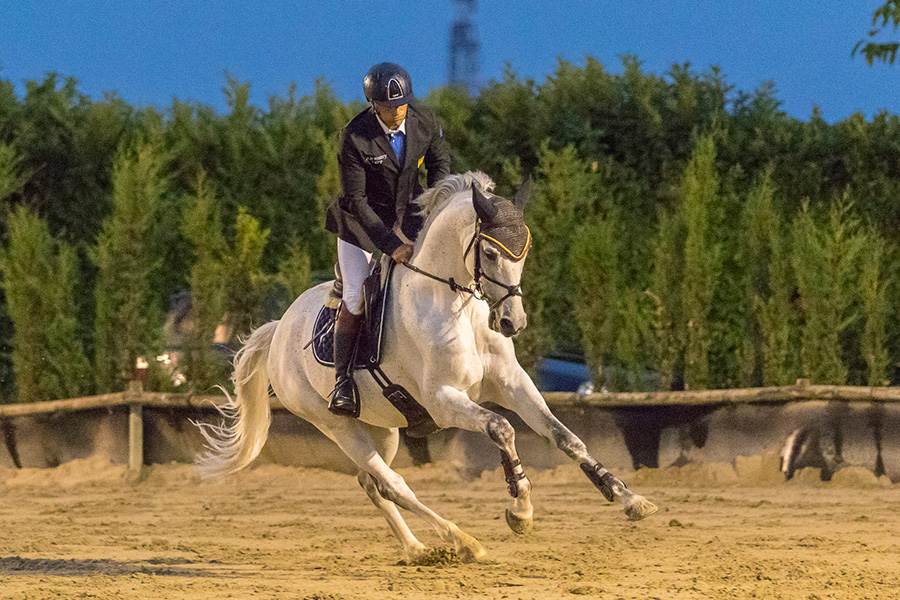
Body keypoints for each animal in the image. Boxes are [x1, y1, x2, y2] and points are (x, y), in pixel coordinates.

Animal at [197, 172, 656, 564]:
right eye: (490, 252)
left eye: (525, 250)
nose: (513, 322)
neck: (458, 305)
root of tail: (278, 329)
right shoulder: (443, 400)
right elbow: (502, 429)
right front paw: (521, 511)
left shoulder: (512, 384)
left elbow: (566, 437)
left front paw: (628, 498)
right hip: (336, 424)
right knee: (394, 483)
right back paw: (463, 542)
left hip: (382, 427)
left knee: (372, 483)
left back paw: (417, 549)